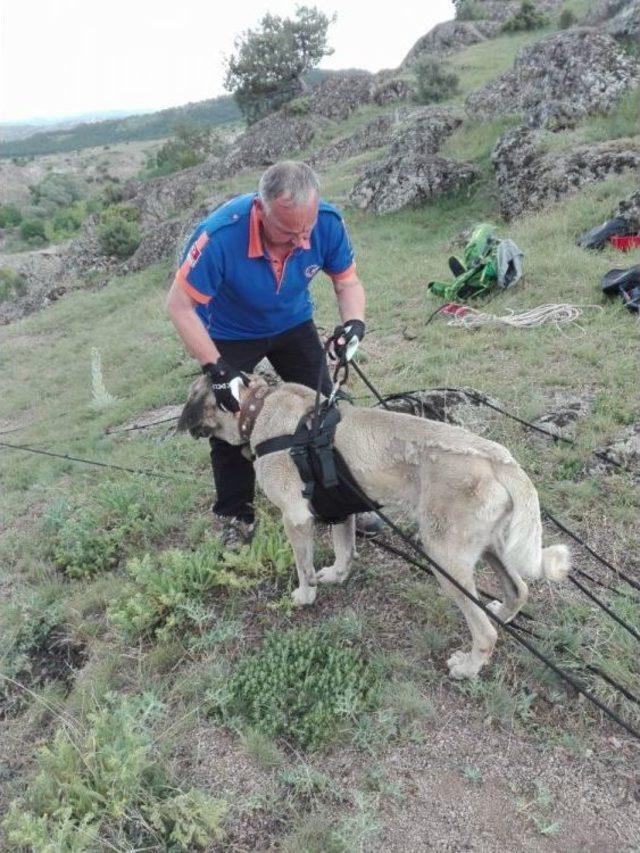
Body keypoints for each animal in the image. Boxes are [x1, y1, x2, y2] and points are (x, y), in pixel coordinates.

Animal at [176, 376, 568, 676]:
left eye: (191, 397)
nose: (181, 427)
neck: (257, 409)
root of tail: (499, 459)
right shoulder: (339, 508)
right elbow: (343, 549)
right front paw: (336, 575)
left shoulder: (295, 518)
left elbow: (303, 568)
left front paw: (305, 595)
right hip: (488, 547)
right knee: (519, 590)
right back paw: (502, 612)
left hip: (446, 561)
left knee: (486, 632)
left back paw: (468, 667)